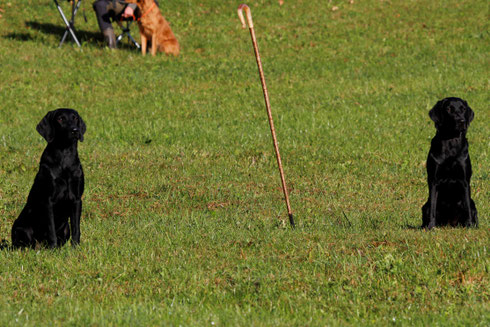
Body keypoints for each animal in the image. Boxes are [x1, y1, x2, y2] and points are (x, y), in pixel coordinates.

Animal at [11, 108, 86, 249]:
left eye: (75, 118)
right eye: (60, 119)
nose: (75, 130)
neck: (64, 158)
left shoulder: (77, 199)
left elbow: (76, 228)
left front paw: (75, 247)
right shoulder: (48, 201)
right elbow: (51, 229)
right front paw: (53, 248)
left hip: (65, 228)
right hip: (20, 229)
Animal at [422, 98, 478, 229]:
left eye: (463, 109)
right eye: (448, 109)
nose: (462, 121)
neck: (451, 143)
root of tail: (450, 223)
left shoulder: (465, 181)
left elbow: (467, 207)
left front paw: (469, 226)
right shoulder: (433, 181)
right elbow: (432, 207)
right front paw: (431, 226)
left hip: (473, 204)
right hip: (424, 206)